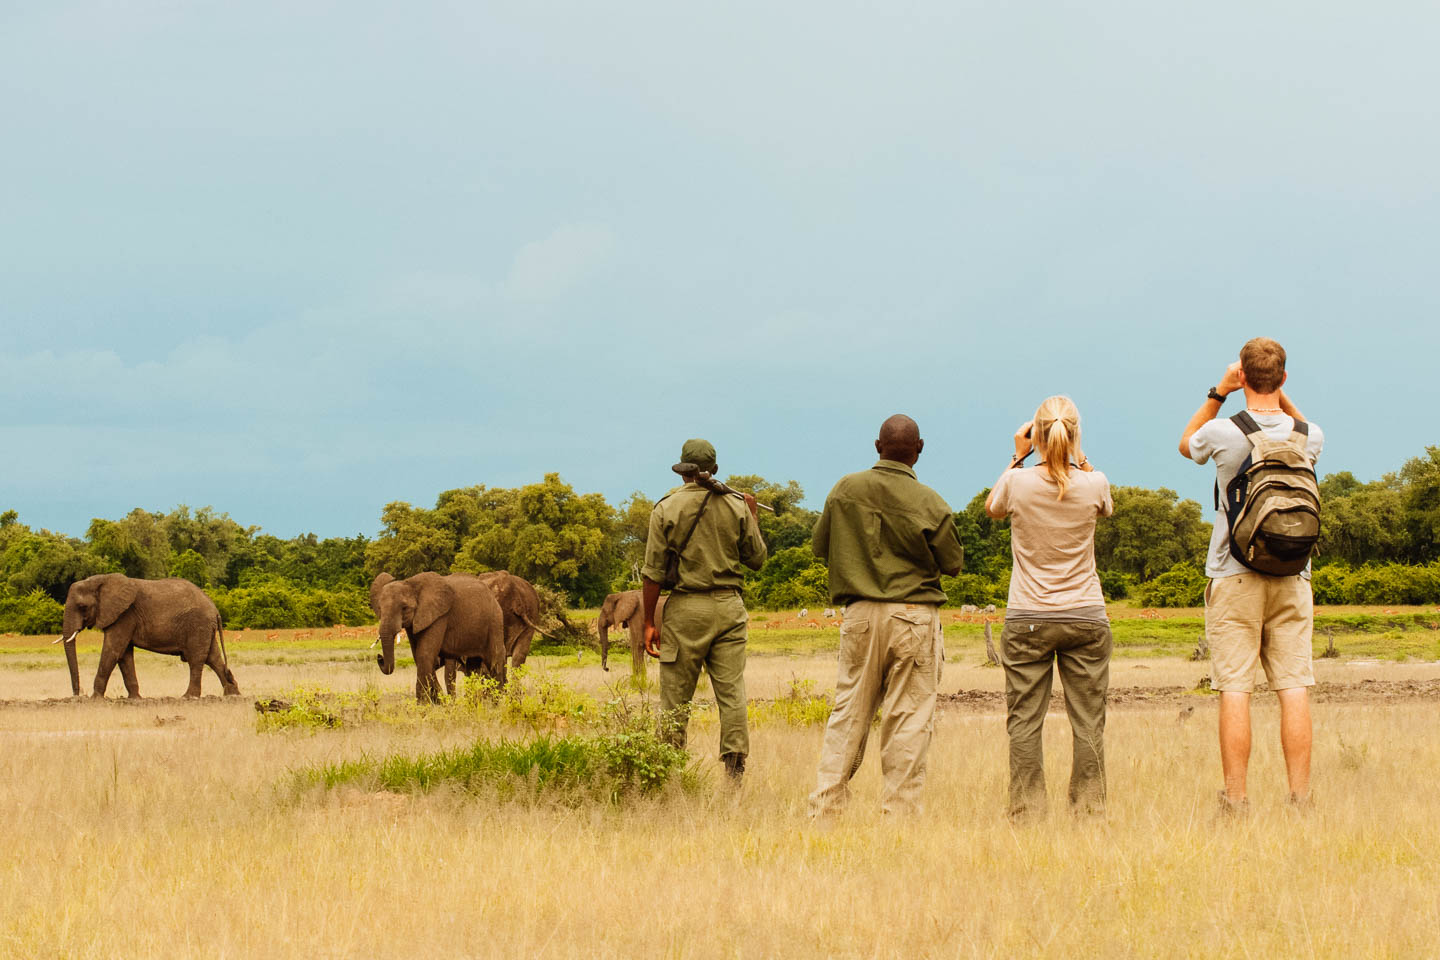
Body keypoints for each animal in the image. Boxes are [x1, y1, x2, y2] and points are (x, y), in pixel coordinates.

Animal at [56, 569, 239, 699]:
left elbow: (113, 650)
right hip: (205, 628)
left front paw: (95, 699)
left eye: (82, 607)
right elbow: (124, 655)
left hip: (198, 625)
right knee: (213, 658)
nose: (77, 695)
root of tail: (215, 609)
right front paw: (134, 699)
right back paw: (232, 695)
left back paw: (188, 697)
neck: (102, 580)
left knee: (196, 659)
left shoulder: (125, 614)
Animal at [371, 569, 506, 705]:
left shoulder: (439, 617)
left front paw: (422, 705)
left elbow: (424, 654)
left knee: (494, 661)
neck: (411, 583)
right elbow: (418, 656)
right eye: (379, 608)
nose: (379, 657)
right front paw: (438, 702)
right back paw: (474, 704)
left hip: (495, 621)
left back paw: (497, 704)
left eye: (404, 608)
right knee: (473, 666)